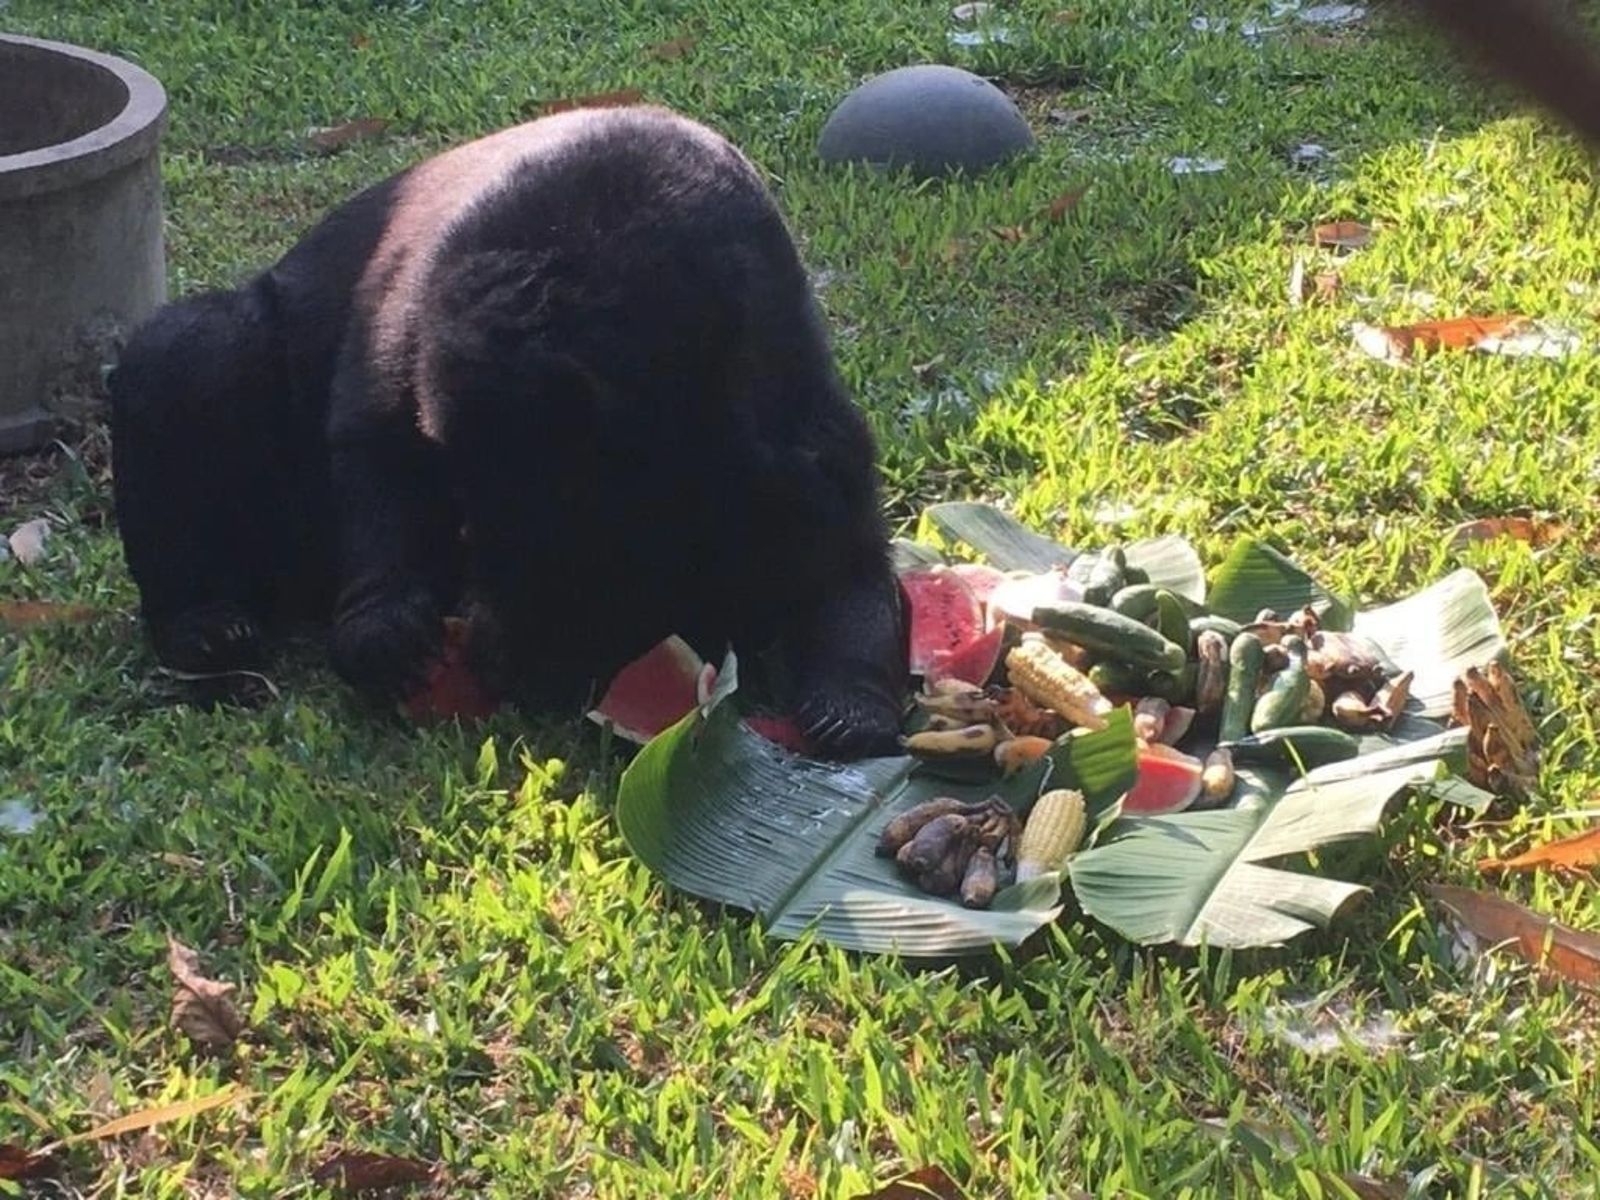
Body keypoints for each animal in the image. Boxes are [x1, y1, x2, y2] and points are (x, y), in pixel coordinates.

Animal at [109, 105, 915, 761]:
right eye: (468, 529)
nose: (507, 670)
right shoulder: (405, 318)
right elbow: (374, 452)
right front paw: (388, 636)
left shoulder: (793, 427)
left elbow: (843, 561)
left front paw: (849, 703)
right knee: (193, 349)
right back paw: (206, 625)